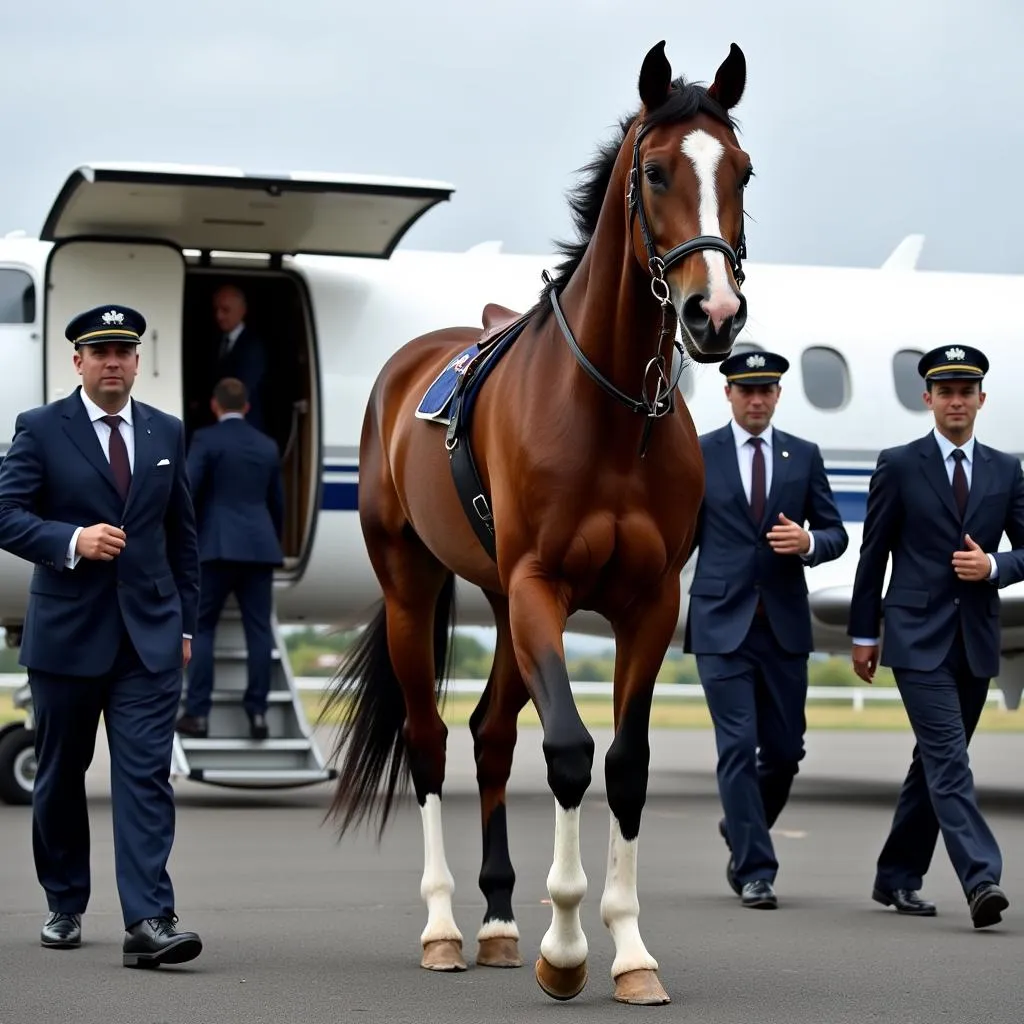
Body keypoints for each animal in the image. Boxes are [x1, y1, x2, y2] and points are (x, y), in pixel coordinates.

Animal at [323, 41, 757, 1007]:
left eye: (742, 170)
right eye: (657, 171)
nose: (714, 315)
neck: (614, 413)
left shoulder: (649, 604)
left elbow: (624, 765)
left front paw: (629, 952)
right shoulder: (540, 590)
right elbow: (566, 752)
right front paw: (566, 949)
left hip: (499, 603)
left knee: (488, 738)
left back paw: (494, 923)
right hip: (415, 586)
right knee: (431, 742)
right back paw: (445, 929)